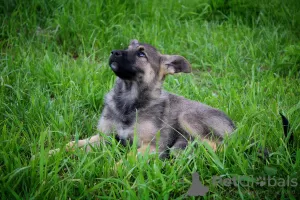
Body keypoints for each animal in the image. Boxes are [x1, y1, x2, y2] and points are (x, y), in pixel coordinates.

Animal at [65, 39, 234, 158]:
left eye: (141, 54)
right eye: (127, 48)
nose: (113, 52)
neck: (128, 101)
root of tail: (234, 127)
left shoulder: (151, 146)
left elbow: (128, 158)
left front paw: (115, 171)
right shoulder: (104, 136)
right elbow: (74, 144)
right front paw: (58, 151)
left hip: (187, 117)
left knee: (218, 146)